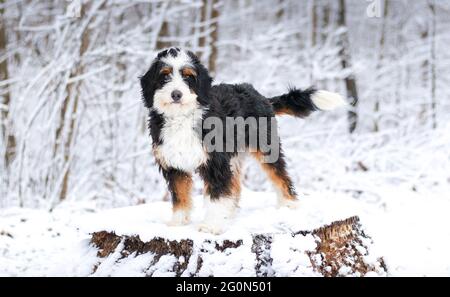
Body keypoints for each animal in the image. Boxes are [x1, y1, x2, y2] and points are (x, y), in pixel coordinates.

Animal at [141, 47, 344, 234]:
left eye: (188, 77)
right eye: (164, 76)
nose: (176, 94)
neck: (182, 117)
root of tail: (260, 96)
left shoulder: (215, 163)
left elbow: (216, 195)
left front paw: (212, 226)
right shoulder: (174, 166)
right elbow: (180, 194)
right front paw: (178, 223)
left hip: (265, 148)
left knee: (280, 176)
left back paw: (289, 204)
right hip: (234, 156)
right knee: (235, 186)